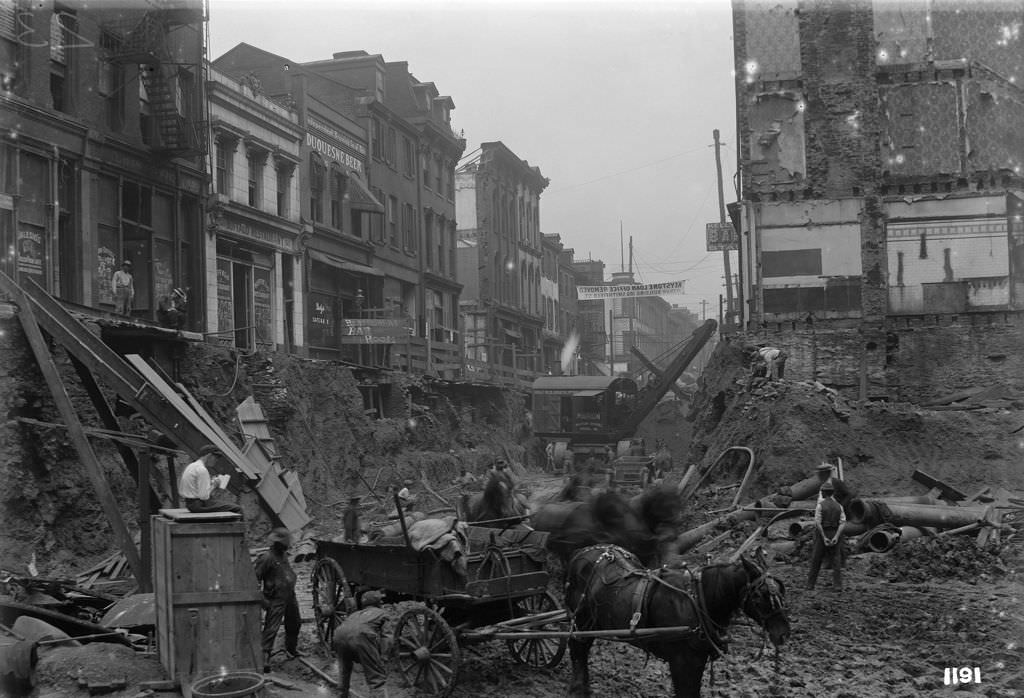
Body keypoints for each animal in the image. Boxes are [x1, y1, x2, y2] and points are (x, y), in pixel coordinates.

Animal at [561, 544, 790, 695]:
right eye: (760, 596)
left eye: (781, 590)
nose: (783, 634)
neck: (699, 600)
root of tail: (581, 552)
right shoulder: (682, 660)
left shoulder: (698, 659)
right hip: (581, 620)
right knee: (578, 650)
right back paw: (578, 689)